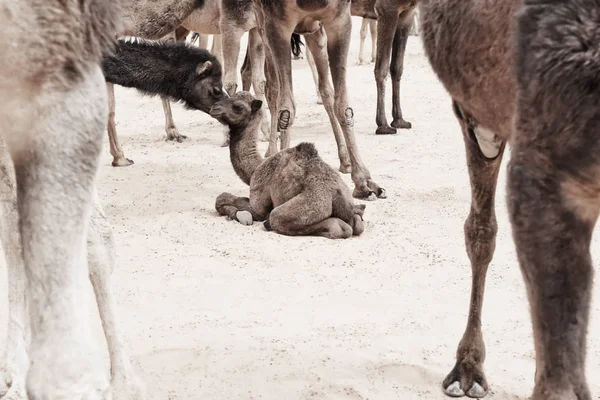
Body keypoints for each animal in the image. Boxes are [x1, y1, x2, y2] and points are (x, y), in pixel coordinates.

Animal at [211, 92, 366, 239]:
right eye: (229, 97)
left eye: (238, 107)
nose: (214, 108)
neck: (256, 168)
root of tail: (337, 195)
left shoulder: (258, 198)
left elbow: (222, 198)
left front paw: (240, 215)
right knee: (357, 224)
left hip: (310, 204)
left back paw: (268, 223)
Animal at [252, 0, 384, 200]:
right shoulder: (276, 24)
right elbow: (286, 110)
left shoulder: (339, 20)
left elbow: (342, 106)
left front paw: (364, 181)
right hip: (262, 22)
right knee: (273, 88)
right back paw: (271, 153)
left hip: (315, 31)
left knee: (326, 89)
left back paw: (345, 160)